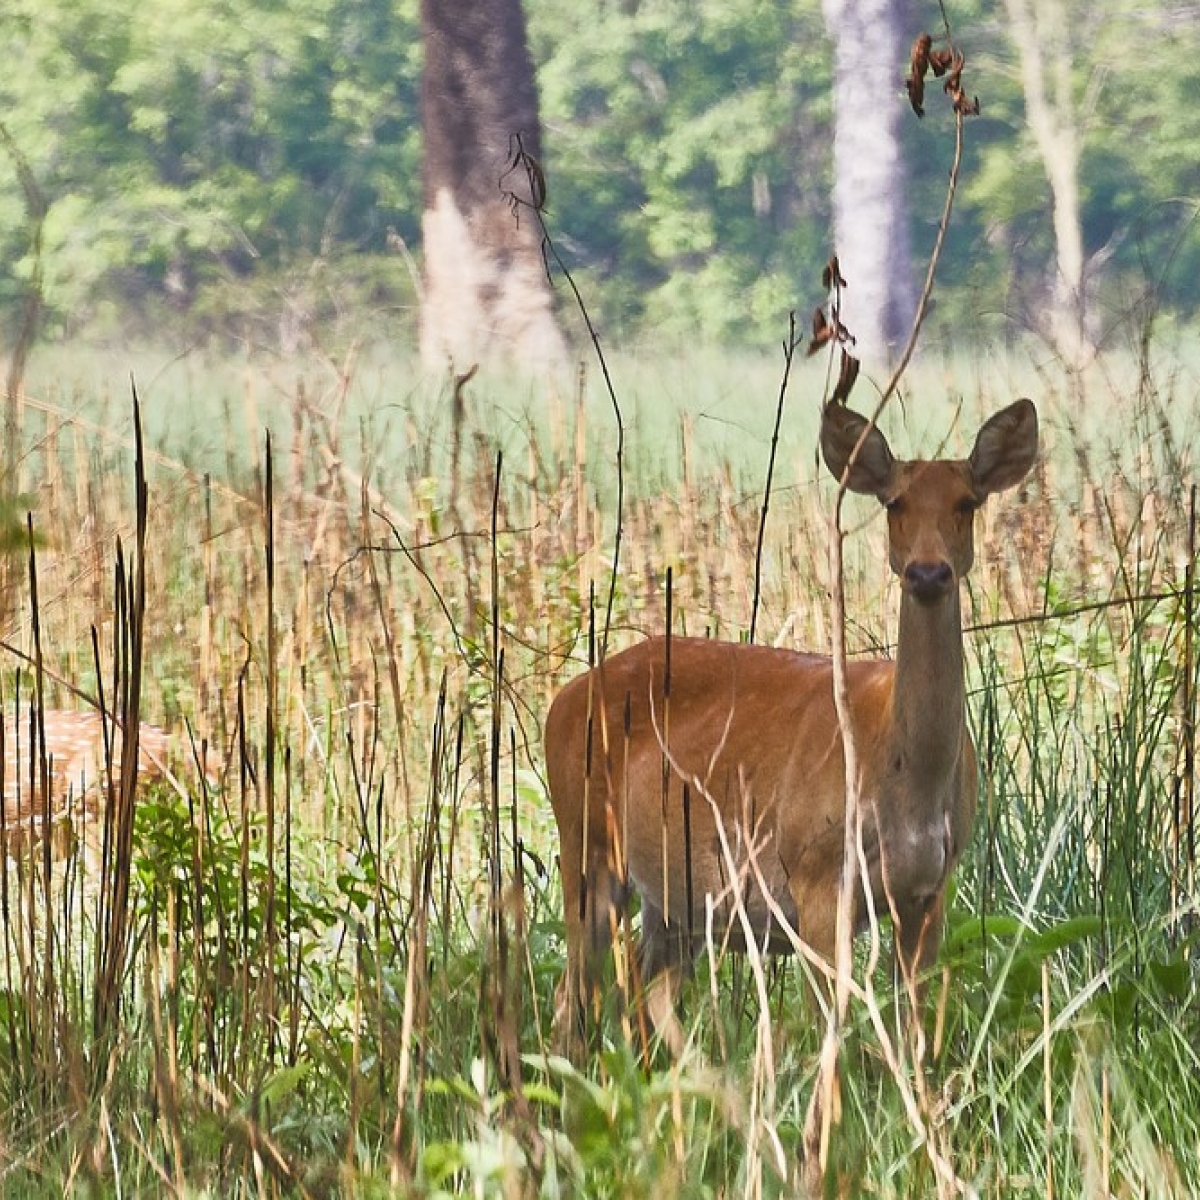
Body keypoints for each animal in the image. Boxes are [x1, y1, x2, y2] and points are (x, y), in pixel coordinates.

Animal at [544, 398, 1039, 1056]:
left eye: (967, 502)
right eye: (895, 502)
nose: (928, 573)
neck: (899, 769)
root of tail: (562, 698)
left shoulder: (929, 888)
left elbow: (915, 1030)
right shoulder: (816, 874)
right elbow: (831, 1028)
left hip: (675, 900)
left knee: (643, 997)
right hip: (587, 846)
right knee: (572, 997)